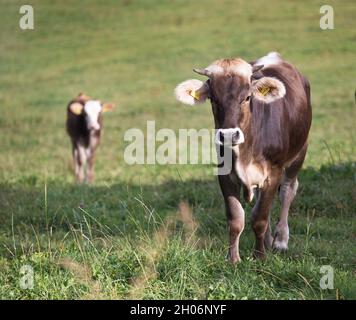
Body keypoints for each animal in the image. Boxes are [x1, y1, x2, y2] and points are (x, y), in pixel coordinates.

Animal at [175, 52, 312, 262]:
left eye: (247, 97)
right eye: (213, 99)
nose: (229, 135)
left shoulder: (273, 172)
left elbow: (260, 217)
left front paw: (260, 257)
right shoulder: (225, 175)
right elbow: (236, 218)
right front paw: (233, 259)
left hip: (299, 153)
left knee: (287, 191)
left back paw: (280, 240)